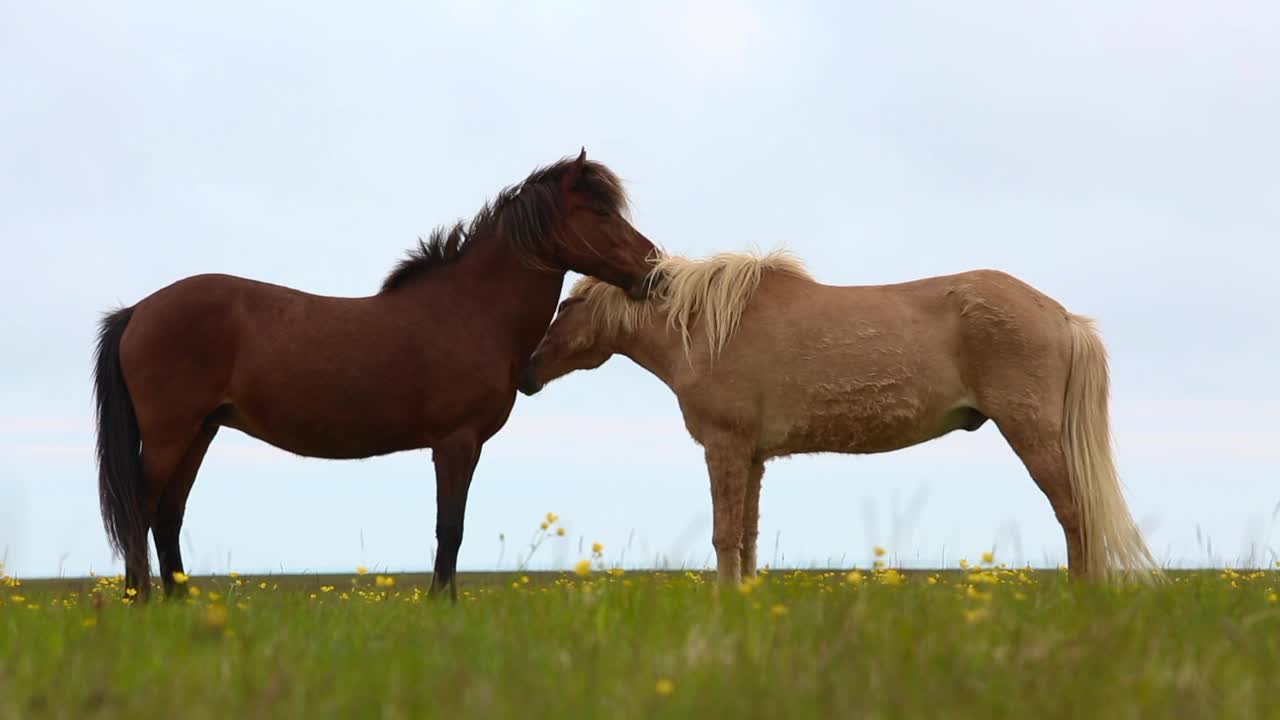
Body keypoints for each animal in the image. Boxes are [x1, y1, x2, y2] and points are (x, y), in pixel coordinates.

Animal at [92, 151, 660, 599]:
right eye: (601, 211)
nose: (654, 269)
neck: (470, 311)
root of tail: (138, 311)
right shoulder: (456, 442)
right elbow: (450, 528)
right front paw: (440, 605)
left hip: (201, 431)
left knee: (167, 515)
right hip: (170, 434)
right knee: (141, 510)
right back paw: (140, 604)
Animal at [519, 249, 1162, 579]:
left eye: (568, 304)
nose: (526, 371)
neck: (706, 329)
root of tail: (1060, 315)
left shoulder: (725, 447)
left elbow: (724, 536)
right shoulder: (752, 457)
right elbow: (746, 537)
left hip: (1031, 433)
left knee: (1076, 516)